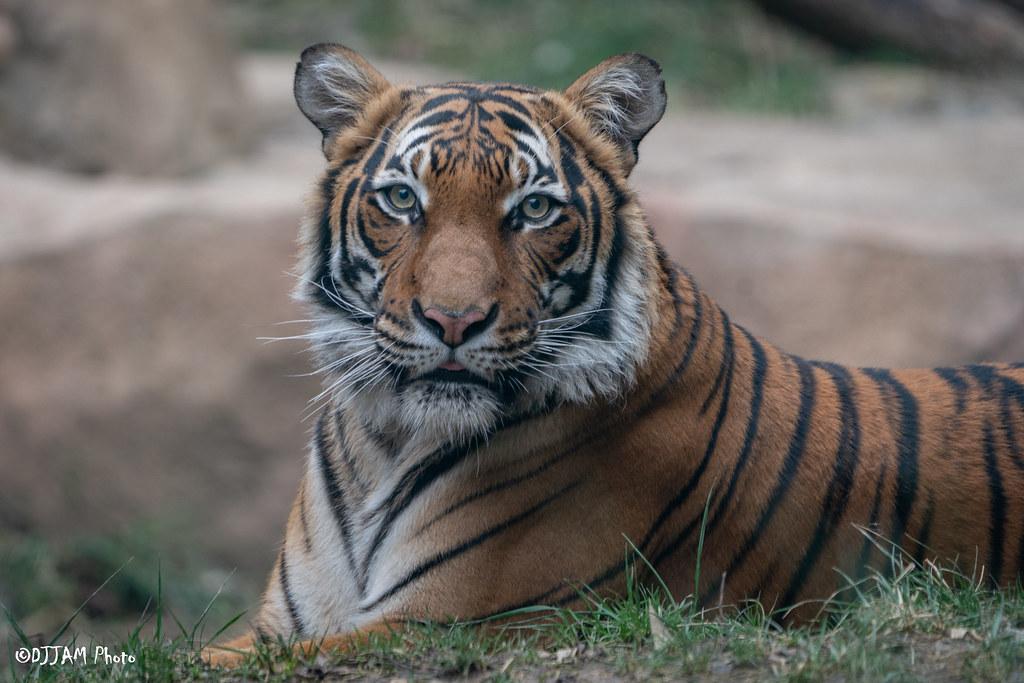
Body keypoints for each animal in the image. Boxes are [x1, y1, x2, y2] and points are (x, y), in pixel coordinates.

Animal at [203, 44, 1019, 667]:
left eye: (534, 209)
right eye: (403, 200)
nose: (453, 321)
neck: (389, 438)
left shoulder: (449, 620)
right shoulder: (284, 623)